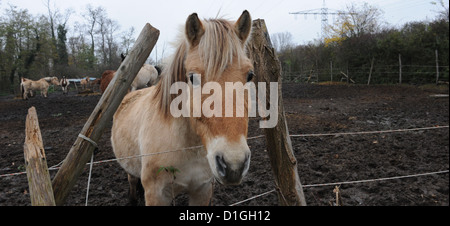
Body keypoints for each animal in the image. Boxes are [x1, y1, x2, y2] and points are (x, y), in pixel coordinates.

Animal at [111, 10, 255, 205]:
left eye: (250, 75)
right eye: (192, 77)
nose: (234, 165)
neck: (187, 148)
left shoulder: (202, 190)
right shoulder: (156, 194)